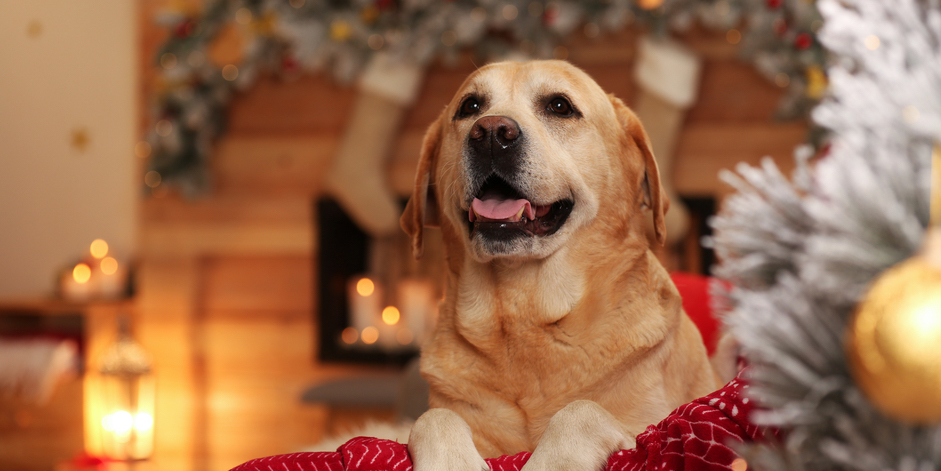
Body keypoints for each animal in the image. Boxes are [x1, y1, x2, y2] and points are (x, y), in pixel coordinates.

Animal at [400, 60, 716, 471]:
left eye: (560, 106)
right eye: (470, 106)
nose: (491, 132)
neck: (523, 313)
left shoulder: (652, 429)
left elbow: (580, 410)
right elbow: (433, 417)